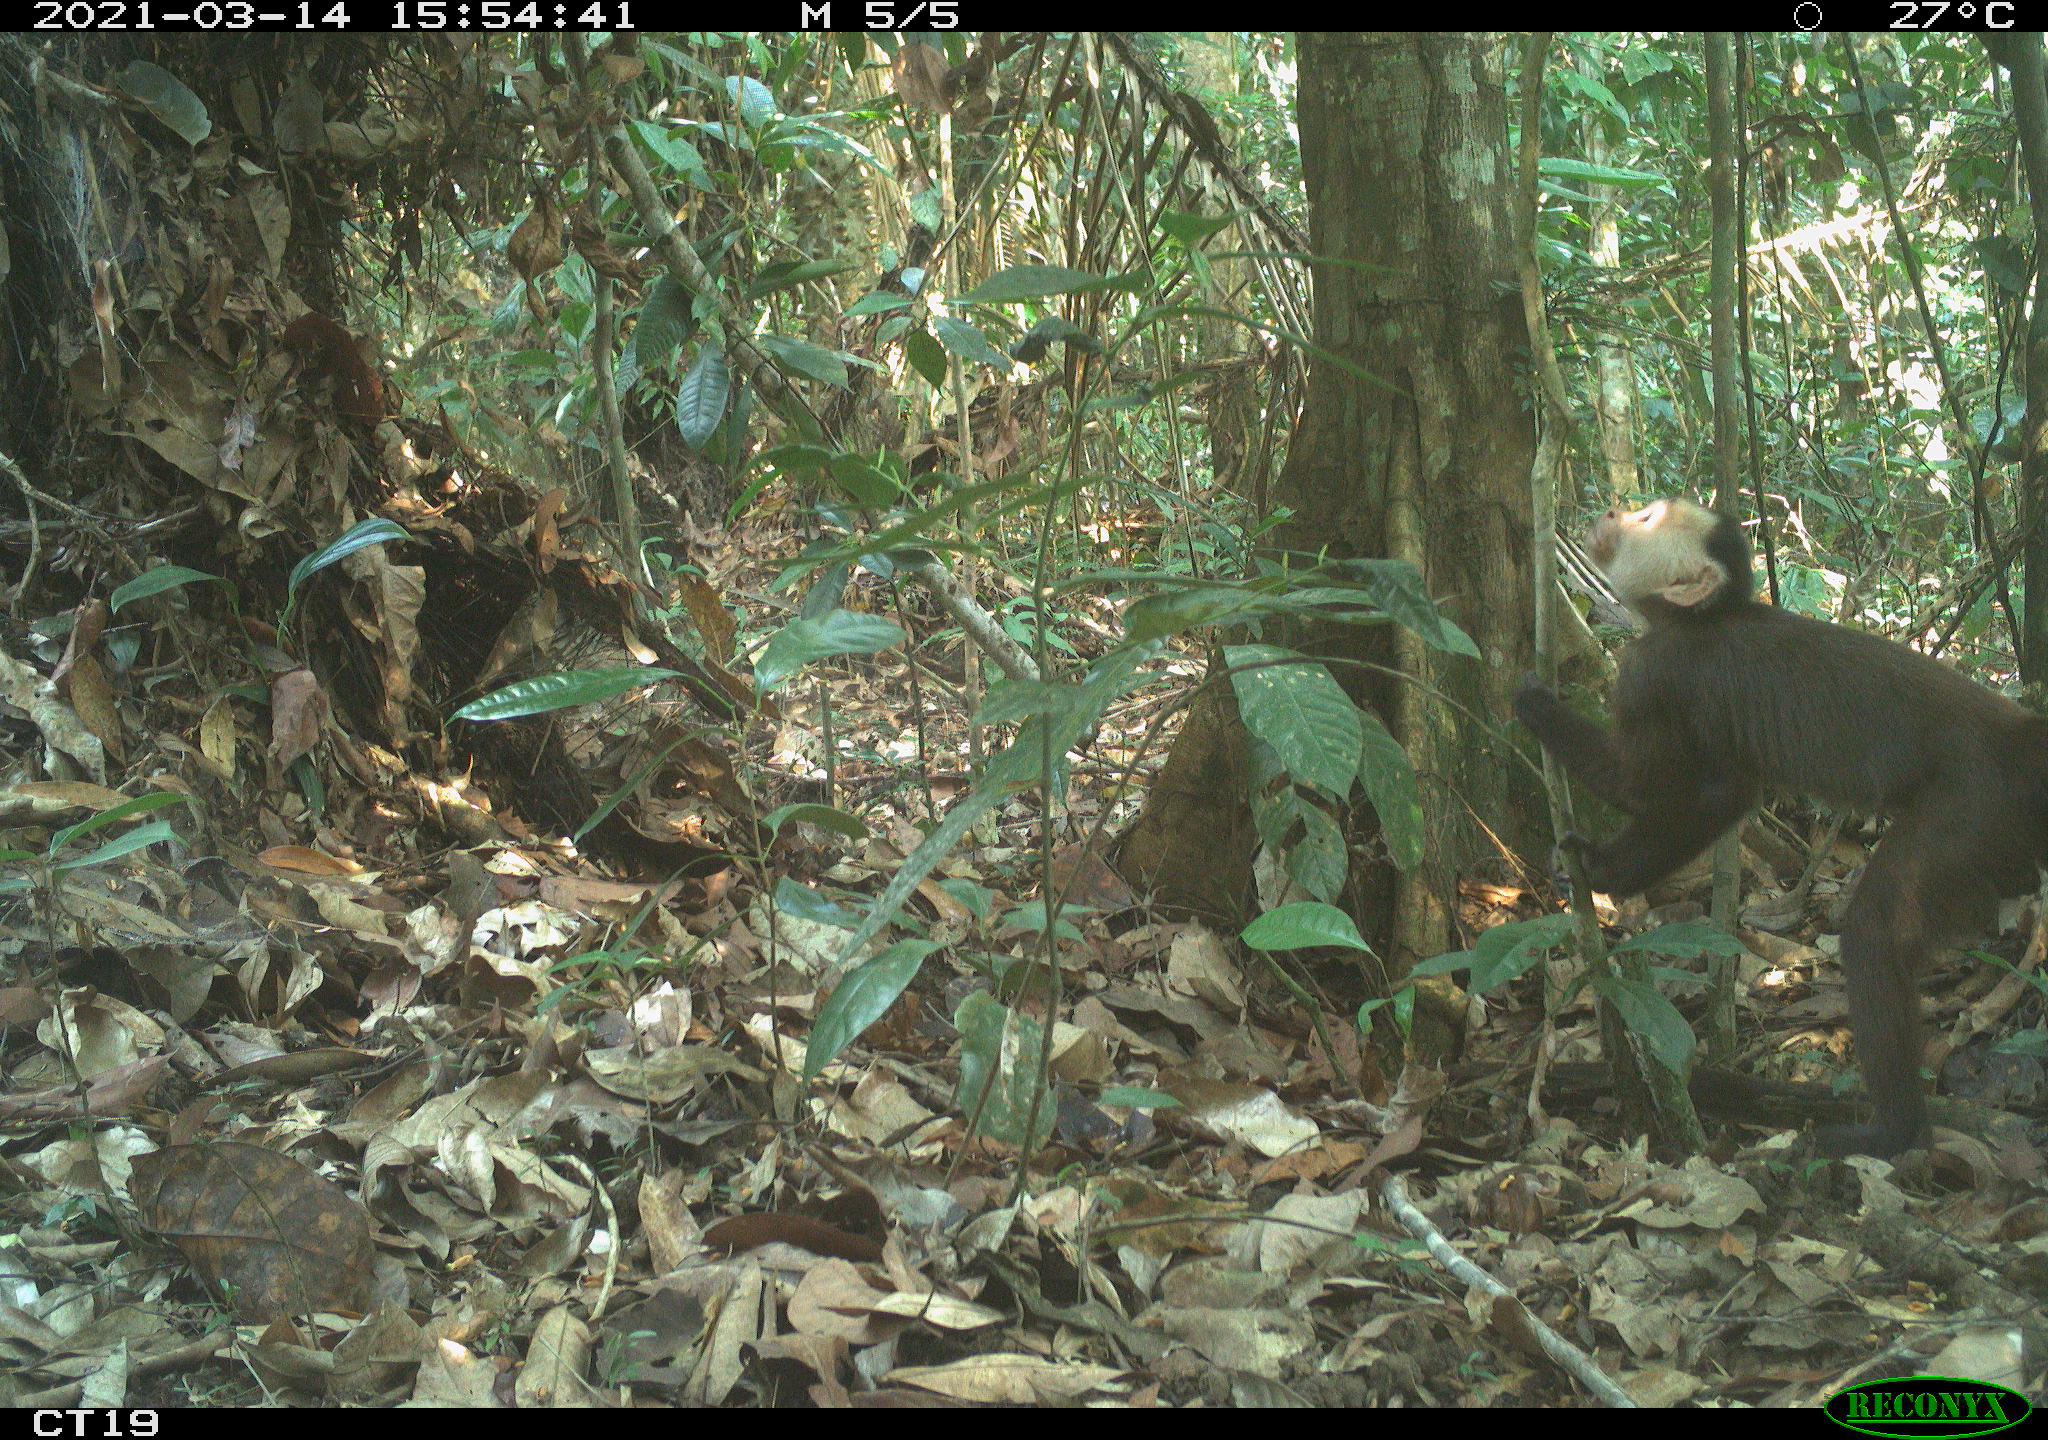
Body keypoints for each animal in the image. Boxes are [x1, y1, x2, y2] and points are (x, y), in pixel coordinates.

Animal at [1515, 501, 2039, 1155]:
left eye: (1649, 517)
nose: (1613, 510)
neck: (1708, 618)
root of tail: (2019, 740)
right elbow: (1722, 796)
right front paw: (1600, 867)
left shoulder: (1651, 668)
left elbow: (1639, 787)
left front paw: (1537, 708)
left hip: (1970, 810)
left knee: (1875, 932)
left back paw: (1893, 1131)